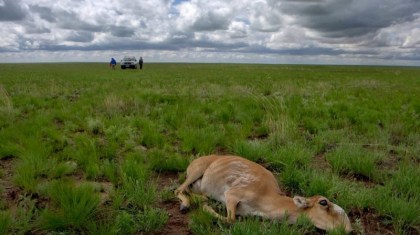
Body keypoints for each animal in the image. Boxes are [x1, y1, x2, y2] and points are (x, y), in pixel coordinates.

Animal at [176, 154, 352, 233]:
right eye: (323, 202)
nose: (349, 229)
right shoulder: (231, 195)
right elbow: (231, 219)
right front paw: (205, 208)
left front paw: (205, 204)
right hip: (196, 171)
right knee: (178, 189)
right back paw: (185, 205)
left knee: (191, 191)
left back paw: (200, 199)